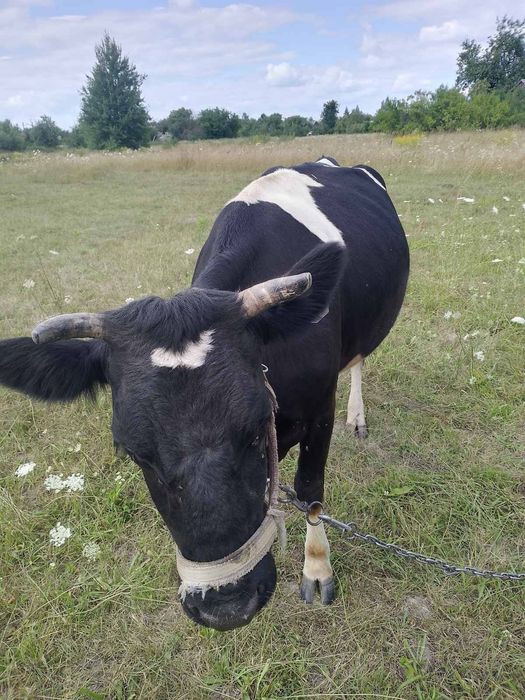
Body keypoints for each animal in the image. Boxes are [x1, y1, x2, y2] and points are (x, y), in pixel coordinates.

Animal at [0, 156, 409, 631]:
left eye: (256, 429)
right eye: (133, 453)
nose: (227, 606)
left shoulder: (320, 405)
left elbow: (310, 492)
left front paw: (317, 572)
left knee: (358, 358)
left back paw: (357, 416)